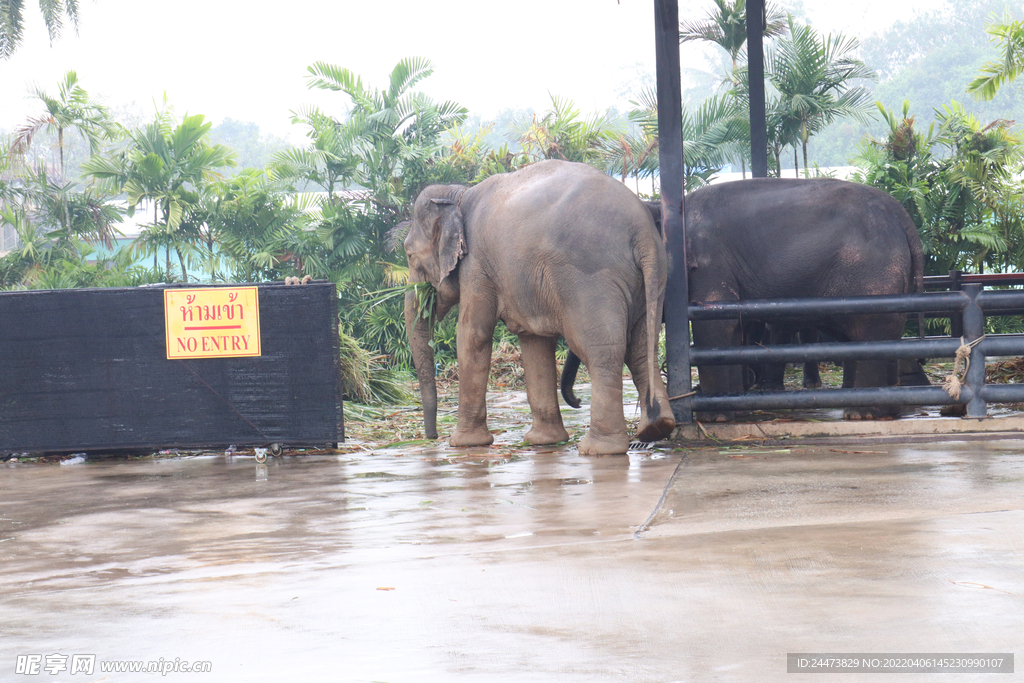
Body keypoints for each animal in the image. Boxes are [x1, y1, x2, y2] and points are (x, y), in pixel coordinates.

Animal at [403, 160, 675, 456]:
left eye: (408, 255)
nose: (431, 437)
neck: (458, 194)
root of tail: (641, 230)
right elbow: (534, 342)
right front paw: (544, 441)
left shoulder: (476, 266)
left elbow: (473, 336)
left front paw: (463, 443)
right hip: (652, 280)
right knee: (641, 348)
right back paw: (656, 428)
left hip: (590, 279)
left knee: (602, 349)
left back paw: (598, 448)